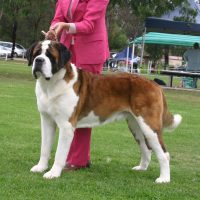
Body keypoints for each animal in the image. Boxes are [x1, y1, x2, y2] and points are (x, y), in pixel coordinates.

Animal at [27, 40, 183, 183]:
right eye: (36, 53)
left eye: (50, 56)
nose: (38, 60)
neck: (51, 84)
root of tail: (154, 84)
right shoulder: (46, 121)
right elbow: (44, 147)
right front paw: (41, 167)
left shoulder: (66, 126)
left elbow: (60, 153)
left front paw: (53, 173)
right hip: (135, 125)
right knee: (146, 148)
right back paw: (141, 168)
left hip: (149, 126)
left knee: (164, 154)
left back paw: (164, 179)